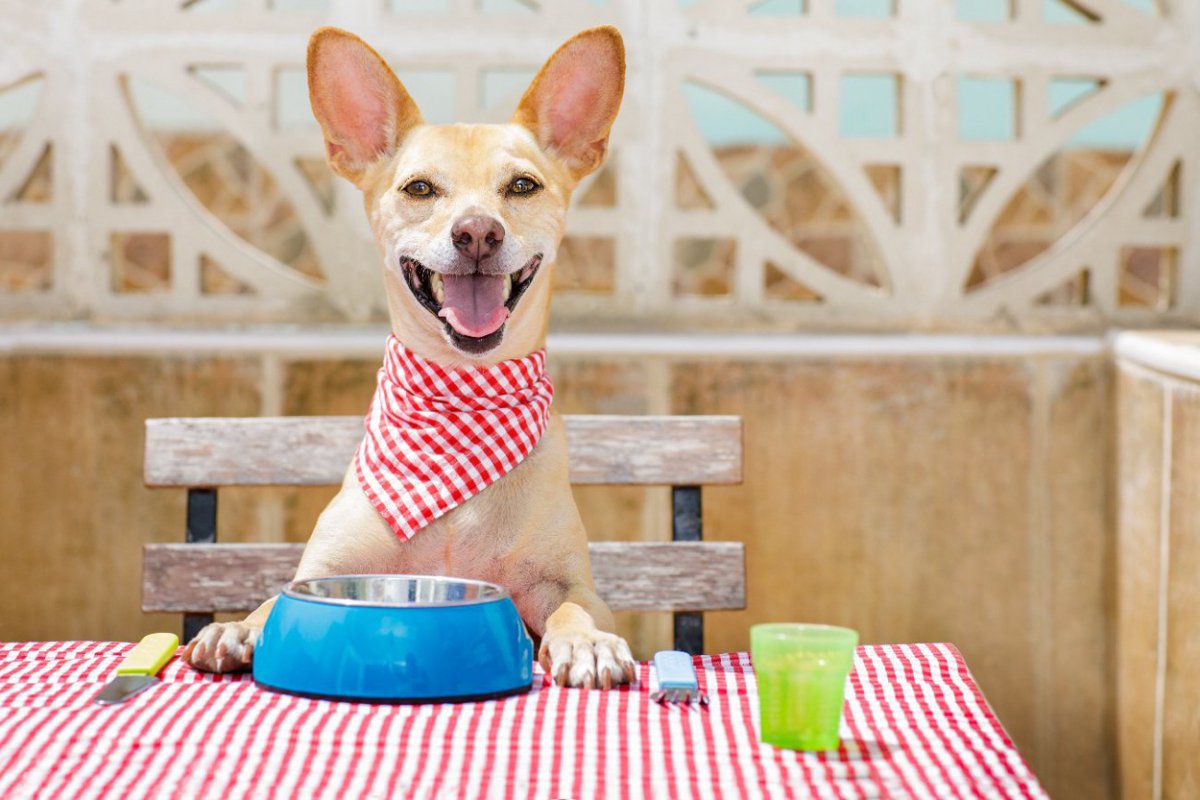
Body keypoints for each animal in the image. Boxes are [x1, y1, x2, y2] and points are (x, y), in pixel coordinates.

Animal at [184, 25, 638, 690]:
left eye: (522, 186)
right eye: (419, 187)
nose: (477, 233)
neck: (456, 398)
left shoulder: (569, 582)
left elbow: (576, 608)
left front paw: (587, 642)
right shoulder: (323, 570)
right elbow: (273, 600)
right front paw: (238, 627)